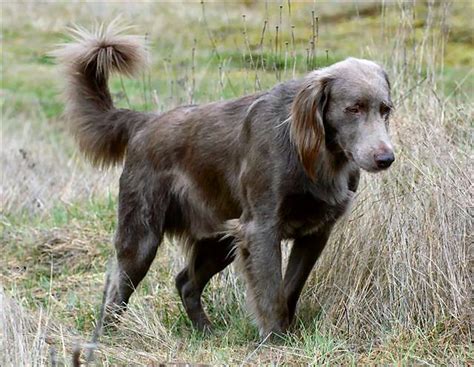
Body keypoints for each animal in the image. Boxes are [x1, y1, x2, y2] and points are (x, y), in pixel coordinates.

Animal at [53, 23, 394, 338]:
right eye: (353, 109)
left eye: (385, 110)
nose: (386, 158)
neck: (312, 153)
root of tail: (145, 122)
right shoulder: (260, 228)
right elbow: (271, 292)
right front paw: (274, 340)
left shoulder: (315, 234)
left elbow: (290, 288)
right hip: (141, 235)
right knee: (117, 289)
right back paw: (105, 337)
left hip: (218, 236)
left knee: (185, 282)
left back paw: (205, 330)